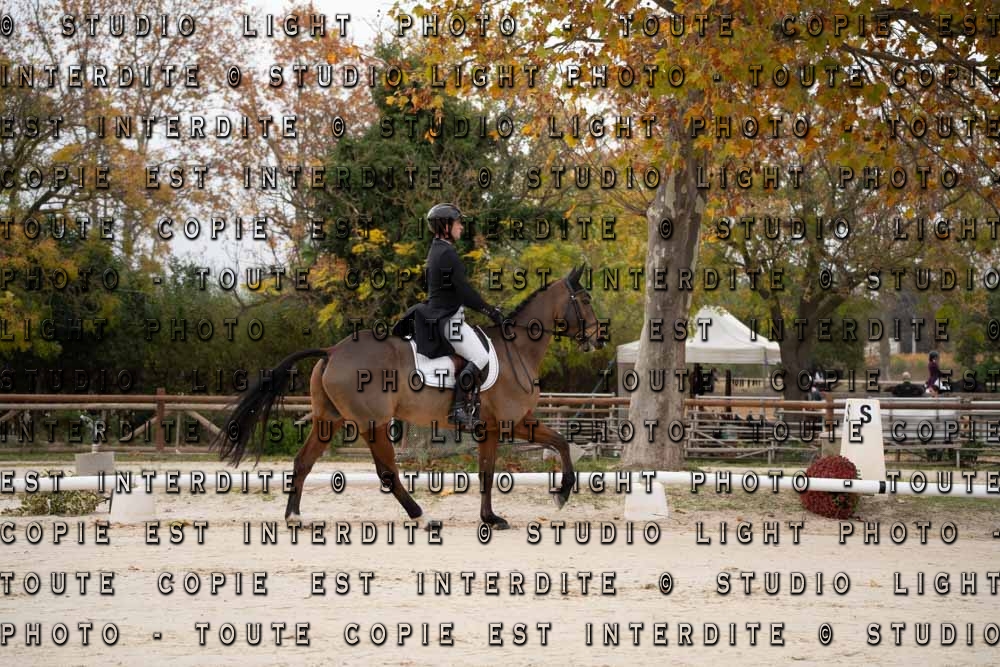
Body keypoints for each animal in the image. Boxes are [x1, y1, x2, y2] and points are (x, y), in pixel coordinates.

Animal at [211, 265, 605, 529]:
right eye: (585, 299)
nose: (599, 338)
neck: (517, 349)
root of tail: (332, 351)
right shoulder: (511, 422)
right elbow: (559, 444)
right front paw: (561, 494)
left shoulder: (494, 428)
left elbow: (493, 469)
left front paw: (491, 517)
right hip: (374, 423)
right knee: (387, 472)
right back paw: (422, 516)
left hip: (329, 420)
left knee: (303, 461)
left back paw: (294, 516)